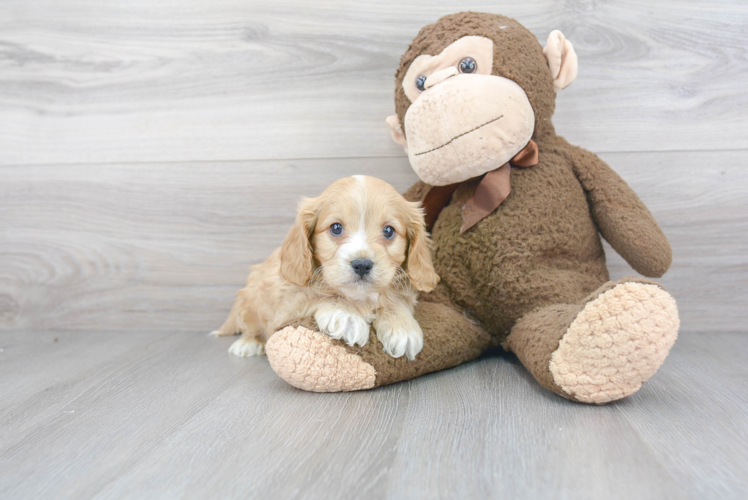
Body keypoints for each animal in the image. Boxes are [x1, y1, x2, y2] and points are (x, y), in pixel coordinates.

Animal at [212, 176, 438, 360]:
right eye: (336, 228)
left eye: (389, 231)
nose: (362, 265)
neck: (360, 297)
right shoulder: (287, 306)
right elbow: (318, 296)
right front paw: (346, 315)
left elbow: (395, 300)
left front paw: (403, 327)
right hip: (251, 299)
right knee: (249, 325)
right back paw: (247, 343)